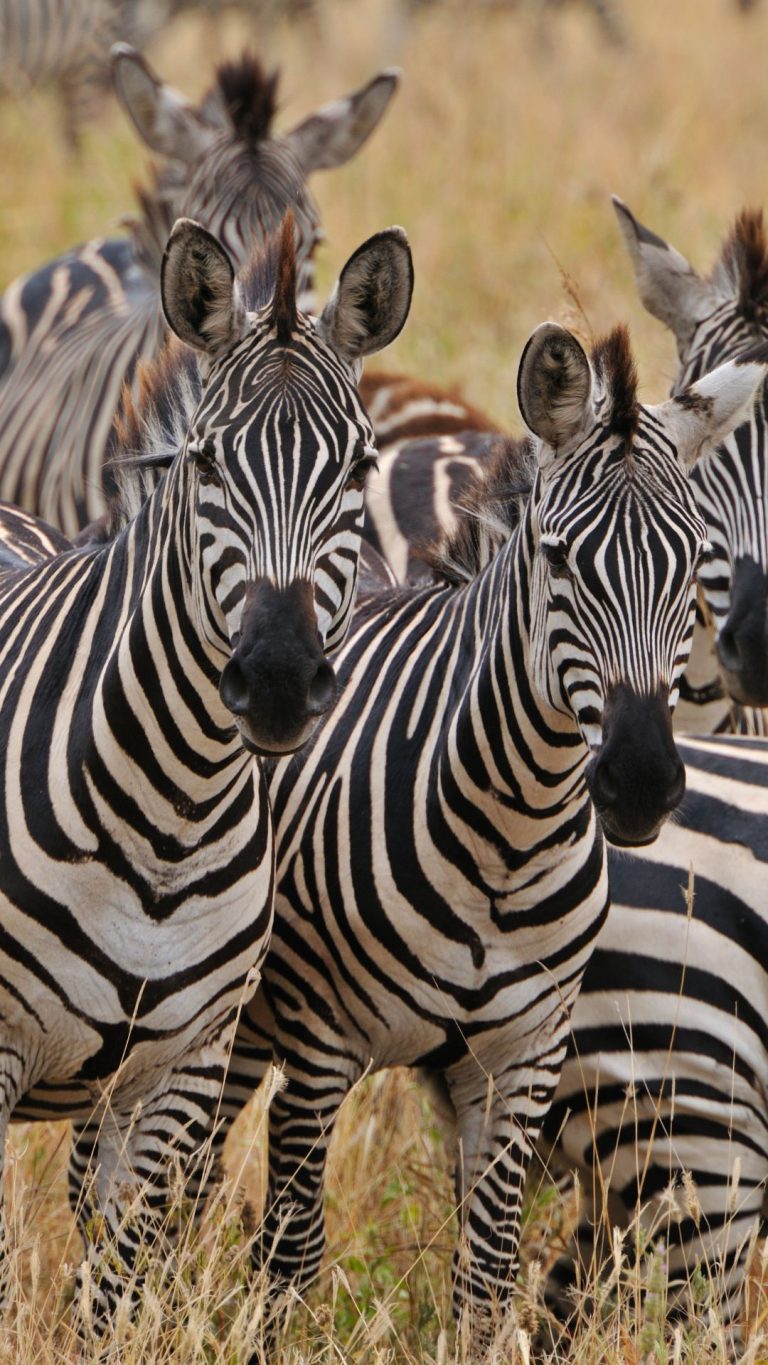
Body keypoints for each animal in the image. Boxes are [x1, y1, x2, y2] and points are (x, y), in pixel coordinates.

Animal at [0, 210, 413, 1328]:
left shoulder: (183, 1069)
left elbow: (116, 1284)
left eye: (358, 471)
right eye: (209, 466)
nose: (275, 681)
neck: (168, 816)